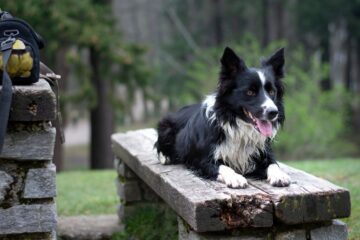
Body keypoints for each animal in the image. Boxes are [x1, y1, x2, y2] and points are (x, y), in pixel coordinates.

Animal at [155, 47, 290, 188]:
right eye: (250, 92)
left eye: (272, 91)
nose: (273, 112)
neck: (237, 124)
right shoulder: (202, 160)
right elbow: (224, 167)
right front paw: (235, 177)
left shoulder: (263, 154)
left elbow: (273, 164)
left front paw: (279, 175)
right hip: (165, 126)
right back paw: (166, 157)